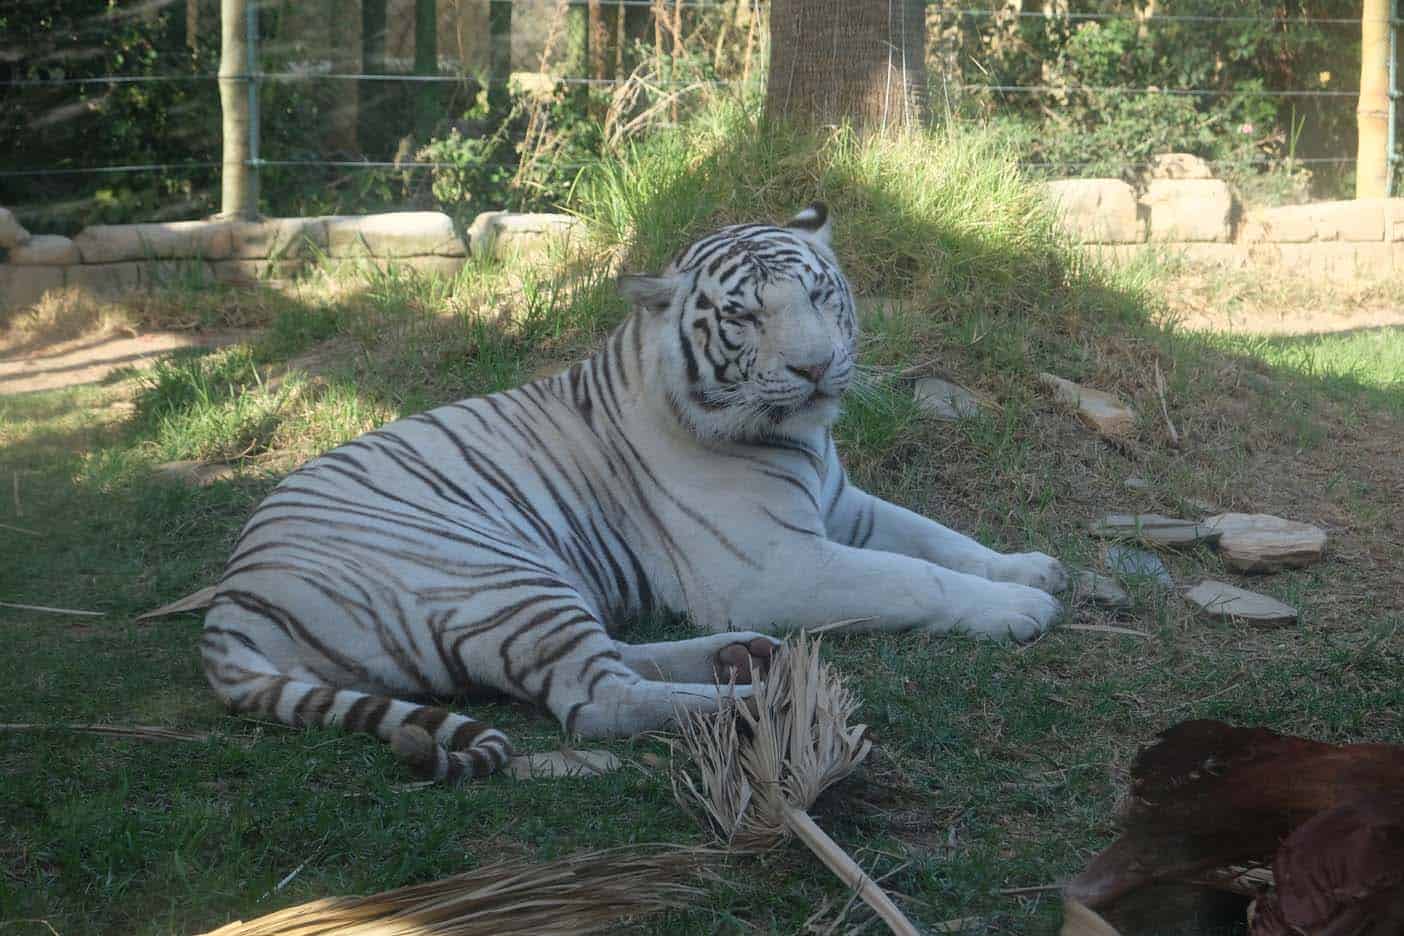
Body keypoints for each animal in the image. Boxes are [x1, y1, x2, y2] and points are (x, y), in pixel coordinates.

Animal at [203, 206, 1061, 785]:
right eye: (745, 315)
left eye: (820, 296)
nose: (817, 368)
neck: (800, 438)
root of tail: (230, 597)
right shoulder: (775, 563)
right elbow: (913, 577)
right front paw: (1019, 609)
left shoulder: (841, 504)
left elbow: (939, 539)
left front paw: (1031, 568)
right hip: (497, 574)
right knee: (596, 697)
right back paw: (753, 696)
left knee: (612, 659)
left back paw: (742, 657)